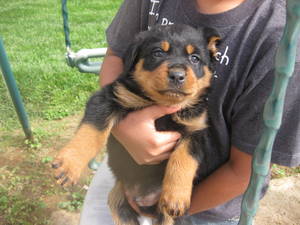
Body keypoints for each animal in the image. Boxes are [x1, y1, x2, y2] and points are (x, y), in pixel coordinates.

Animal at [52, 24, 220, 225]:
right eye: (157, 53)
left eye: (194, 58)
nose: (177, 75)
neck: (162, 103)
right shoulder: (109, 97)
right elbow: (92, 131)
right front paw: (69, 165)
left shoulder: (196, 129)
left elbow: (183, 159)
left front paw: (176, 197)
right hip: (117, 196)